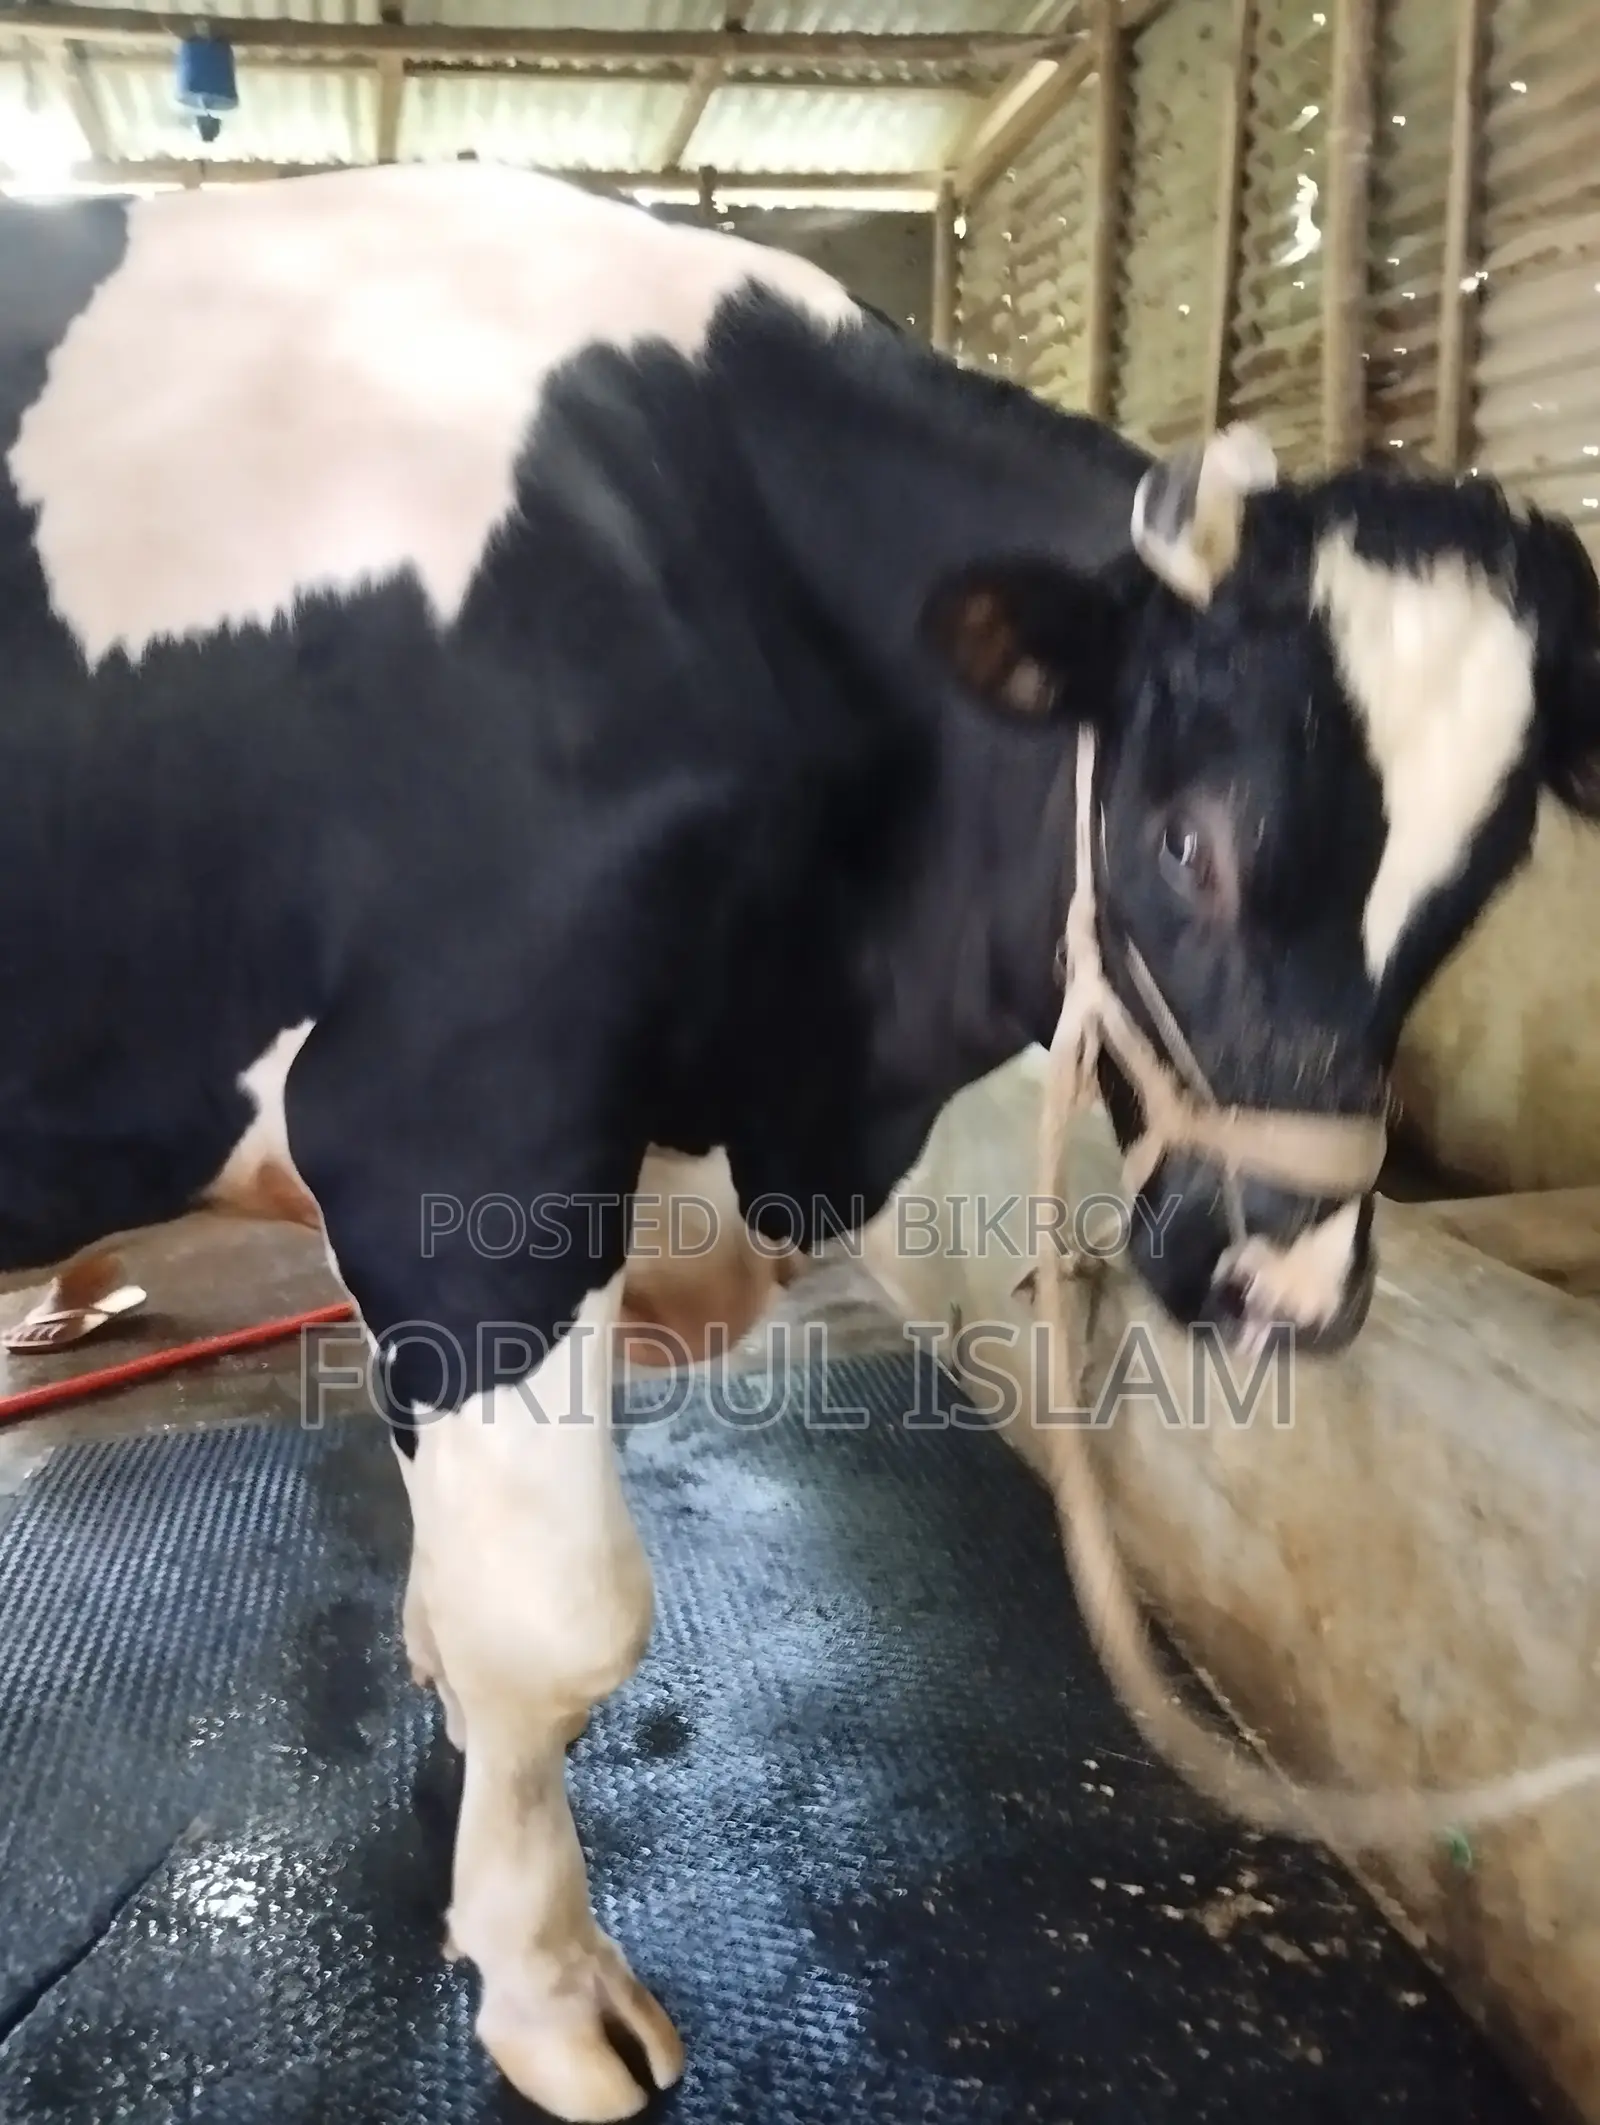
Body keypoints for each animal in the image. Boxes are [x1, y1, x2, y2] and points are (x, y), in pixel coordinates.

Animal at [3, 159, 1599, 2120]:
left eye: (1490, 873)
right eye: (1190, 840)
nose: (1280, 1285)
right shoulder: (454, 1118)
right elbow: (561, 1617)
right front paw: (548, 1987)